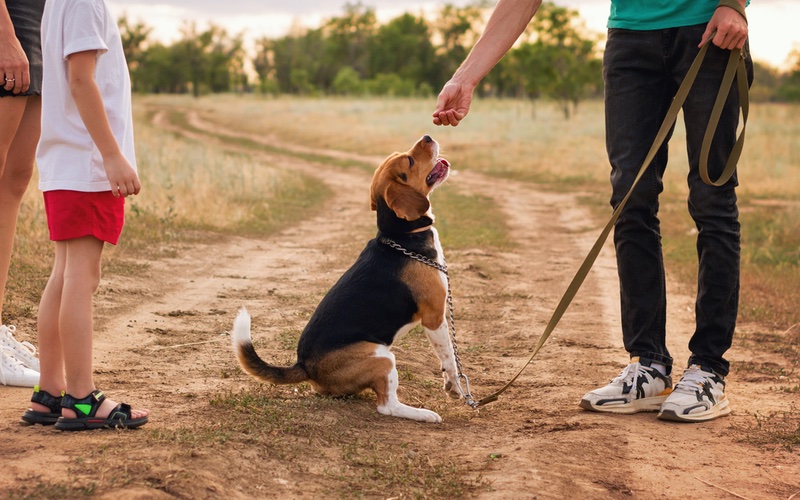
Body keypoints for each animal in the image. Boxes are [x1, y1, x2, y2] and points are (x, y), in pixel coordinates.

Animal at [231, 136, 460, 422]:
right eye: (409, 160)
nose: (427, 137)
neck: (401, 235)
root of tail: (304, 365)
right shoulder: (434, 316)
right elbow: (449, 356)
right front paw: (455, 387)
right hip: (381, 356)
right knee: (387, 406)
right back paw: (423, 414)